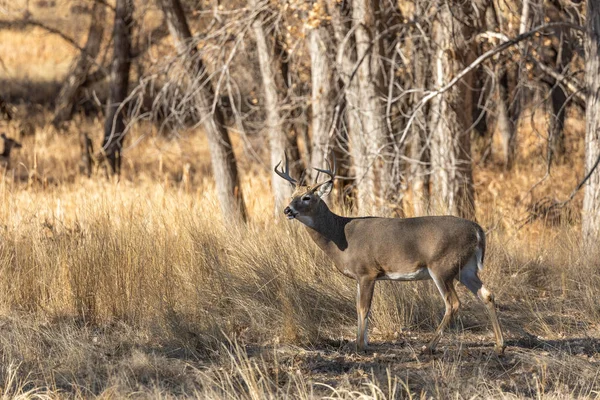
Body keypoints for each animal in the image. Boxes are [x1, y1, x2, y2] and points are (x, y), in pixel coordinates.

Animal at [276, 156, 506, 356]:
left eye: (307, 197)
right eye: (292, 196)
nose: (287, 210)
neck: (339, 235)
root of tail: (478, 230)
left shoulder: (367, 271)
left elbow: (363, 308)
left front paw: (360, 345)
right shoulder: (360, 276)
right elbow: (359, 307)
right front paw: (362, 342)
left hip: (442, 266)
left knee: (453, 303)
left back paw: (428, 347)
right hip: (465, 268)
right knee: (487, 295)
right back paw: (499, 345)